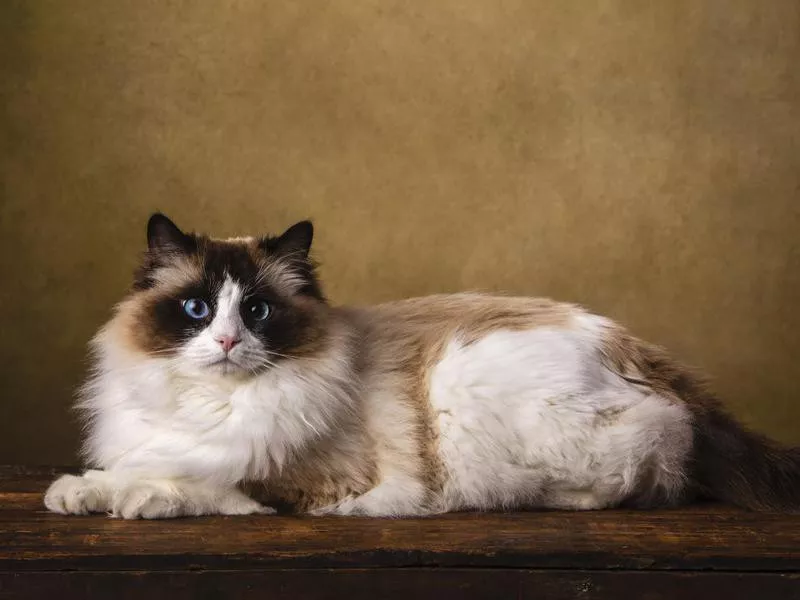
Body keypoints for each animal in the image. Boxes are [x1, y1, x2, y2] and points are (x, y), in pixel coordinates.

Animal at [45, 213, 800, 516]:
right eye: (198, 309)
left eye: (257, 311)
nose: (228, 342)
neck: (214, 402)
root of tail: (636, 348)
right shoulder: (157, 439)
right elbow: (128, 467)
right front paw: (79, 493)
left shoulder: (297, 481)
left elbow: (196, 481)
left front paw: (138, 501)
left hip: (468, 382)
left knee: (643, 473)